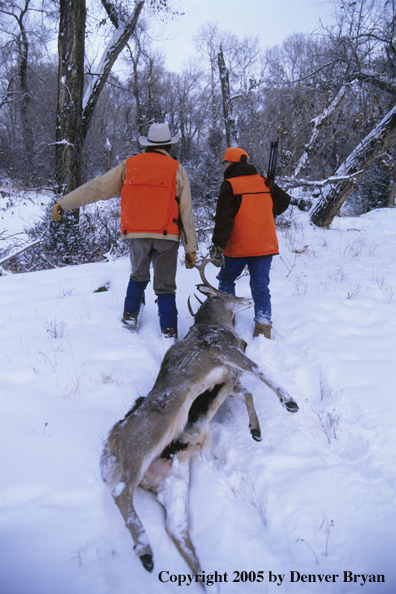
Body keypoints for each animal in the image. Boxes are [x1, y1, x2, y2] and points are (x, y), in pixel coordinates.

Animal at [100, 258, 298, 580]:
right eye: (227, 293)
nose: (249, 298)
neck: (213, 326)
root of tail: (113, 439)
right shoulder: (223, 349)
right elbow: (258, 370)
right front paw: (289, 401)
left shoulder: (227, 378)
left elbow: (247, 392)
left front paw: (255, 430)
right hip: (145, 441)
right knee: (120, 491)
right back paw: (145, 552)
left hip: (174, 479)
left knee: (175, 528)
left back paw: (201, 576)